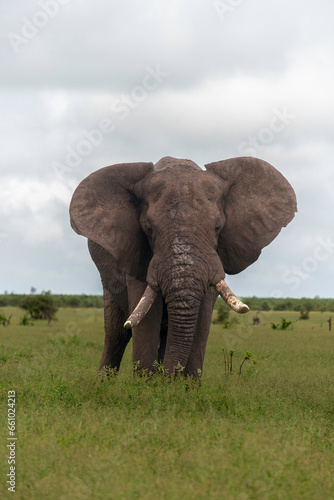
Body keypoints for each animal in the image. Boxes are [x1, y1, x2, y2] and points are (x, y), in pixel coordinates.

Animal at [69, 154, 296, 376]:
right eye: (149, 229)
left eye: (217, 227)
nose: (167, 378)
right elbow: (145, 317)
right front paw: (147, 385)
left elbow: (202, 317)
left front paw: (184, 385)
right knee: (117, 333)